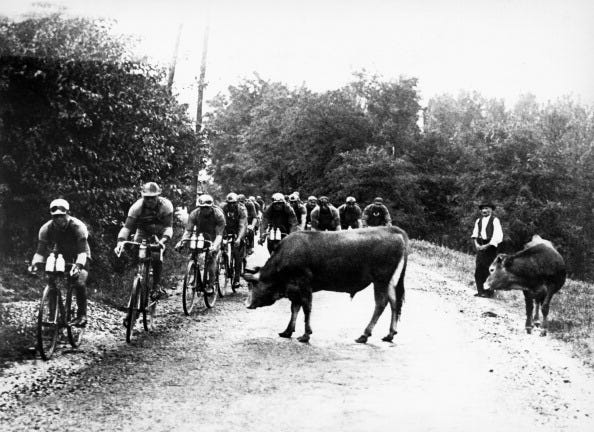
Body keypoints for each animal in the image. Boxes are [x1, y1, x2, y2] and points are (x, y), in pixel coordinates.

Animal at [240, 226, 408, 344]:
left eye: (252, 284)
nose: (247, 304)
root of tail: (393, 230)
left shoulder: (304, 285)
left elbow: (306, 308)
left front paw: (306, 334)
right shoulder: (295, 289)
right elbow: (295, 308)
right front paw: (287, 331)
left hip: (380, 280)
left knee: (381, 303)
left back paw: (364, 334)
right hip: (390, 281)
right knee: (394, 303)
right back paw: (389, 334)